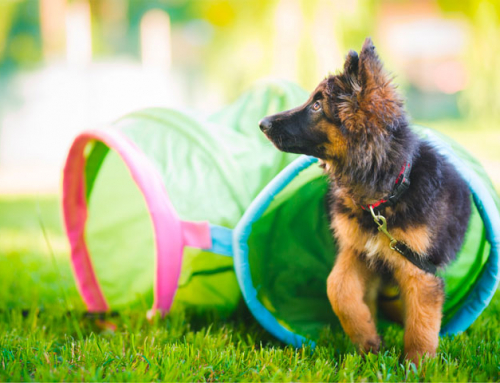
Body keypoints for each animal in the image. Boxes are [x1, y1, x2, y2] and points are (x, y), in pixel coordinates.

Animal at [260, 37, 470, 364]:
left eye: (317, 105)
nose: (262, 123)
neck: (382, 197)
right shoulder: (357, 249)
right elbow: (337, 288)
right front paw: (367, 340)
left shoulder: (419, 269)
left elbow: (421, 323)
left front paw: (417, 365)